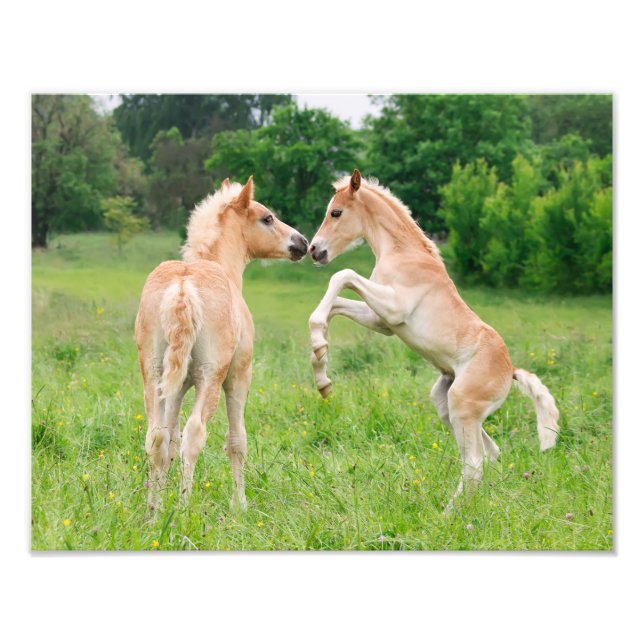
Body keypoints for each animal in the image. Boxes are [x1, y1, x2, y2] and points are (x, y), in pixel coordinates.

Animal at [135, 177, 308, 512]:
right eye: (267, 218)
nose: (302, 243)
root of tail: (183, 287)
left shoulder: (177, 387)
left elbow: (170, 441)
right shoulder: (238, 377)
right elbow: (236, 441)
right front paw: (240, 504)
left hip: (154, 375)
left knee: (156, 438)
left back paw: (153, 511)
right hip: (211, 377)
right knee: (194, 434)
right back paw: (184, 509)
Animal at [307, 169, 559, 510]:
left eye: (336, 212)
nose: (314, 250)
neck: (403, 252)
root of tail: (510, 371)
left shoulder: (393, 308)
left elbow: (342, 276)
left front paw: (319, 350)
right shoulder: (381, 320)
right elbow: (335, 305)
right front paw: (321, 368)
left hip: (462, 406)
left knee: (474, 465)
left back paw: (448, 514)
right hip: (446, 403)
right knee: (489, 454)